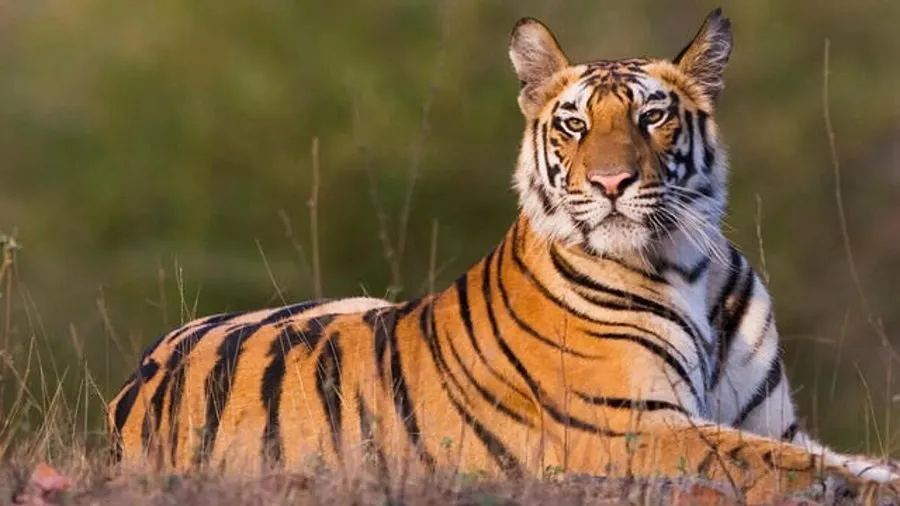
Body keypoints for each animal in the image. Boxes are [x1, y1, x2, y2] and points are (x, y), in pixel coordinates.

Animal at [107, 9, 900, 504]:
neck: (687, 266)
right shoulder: (632, 426)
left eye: (653, 116)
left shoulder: (772, 420)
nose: (611, 183)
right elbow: (781, 465)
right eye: (575, 125)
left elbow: (828, 454)